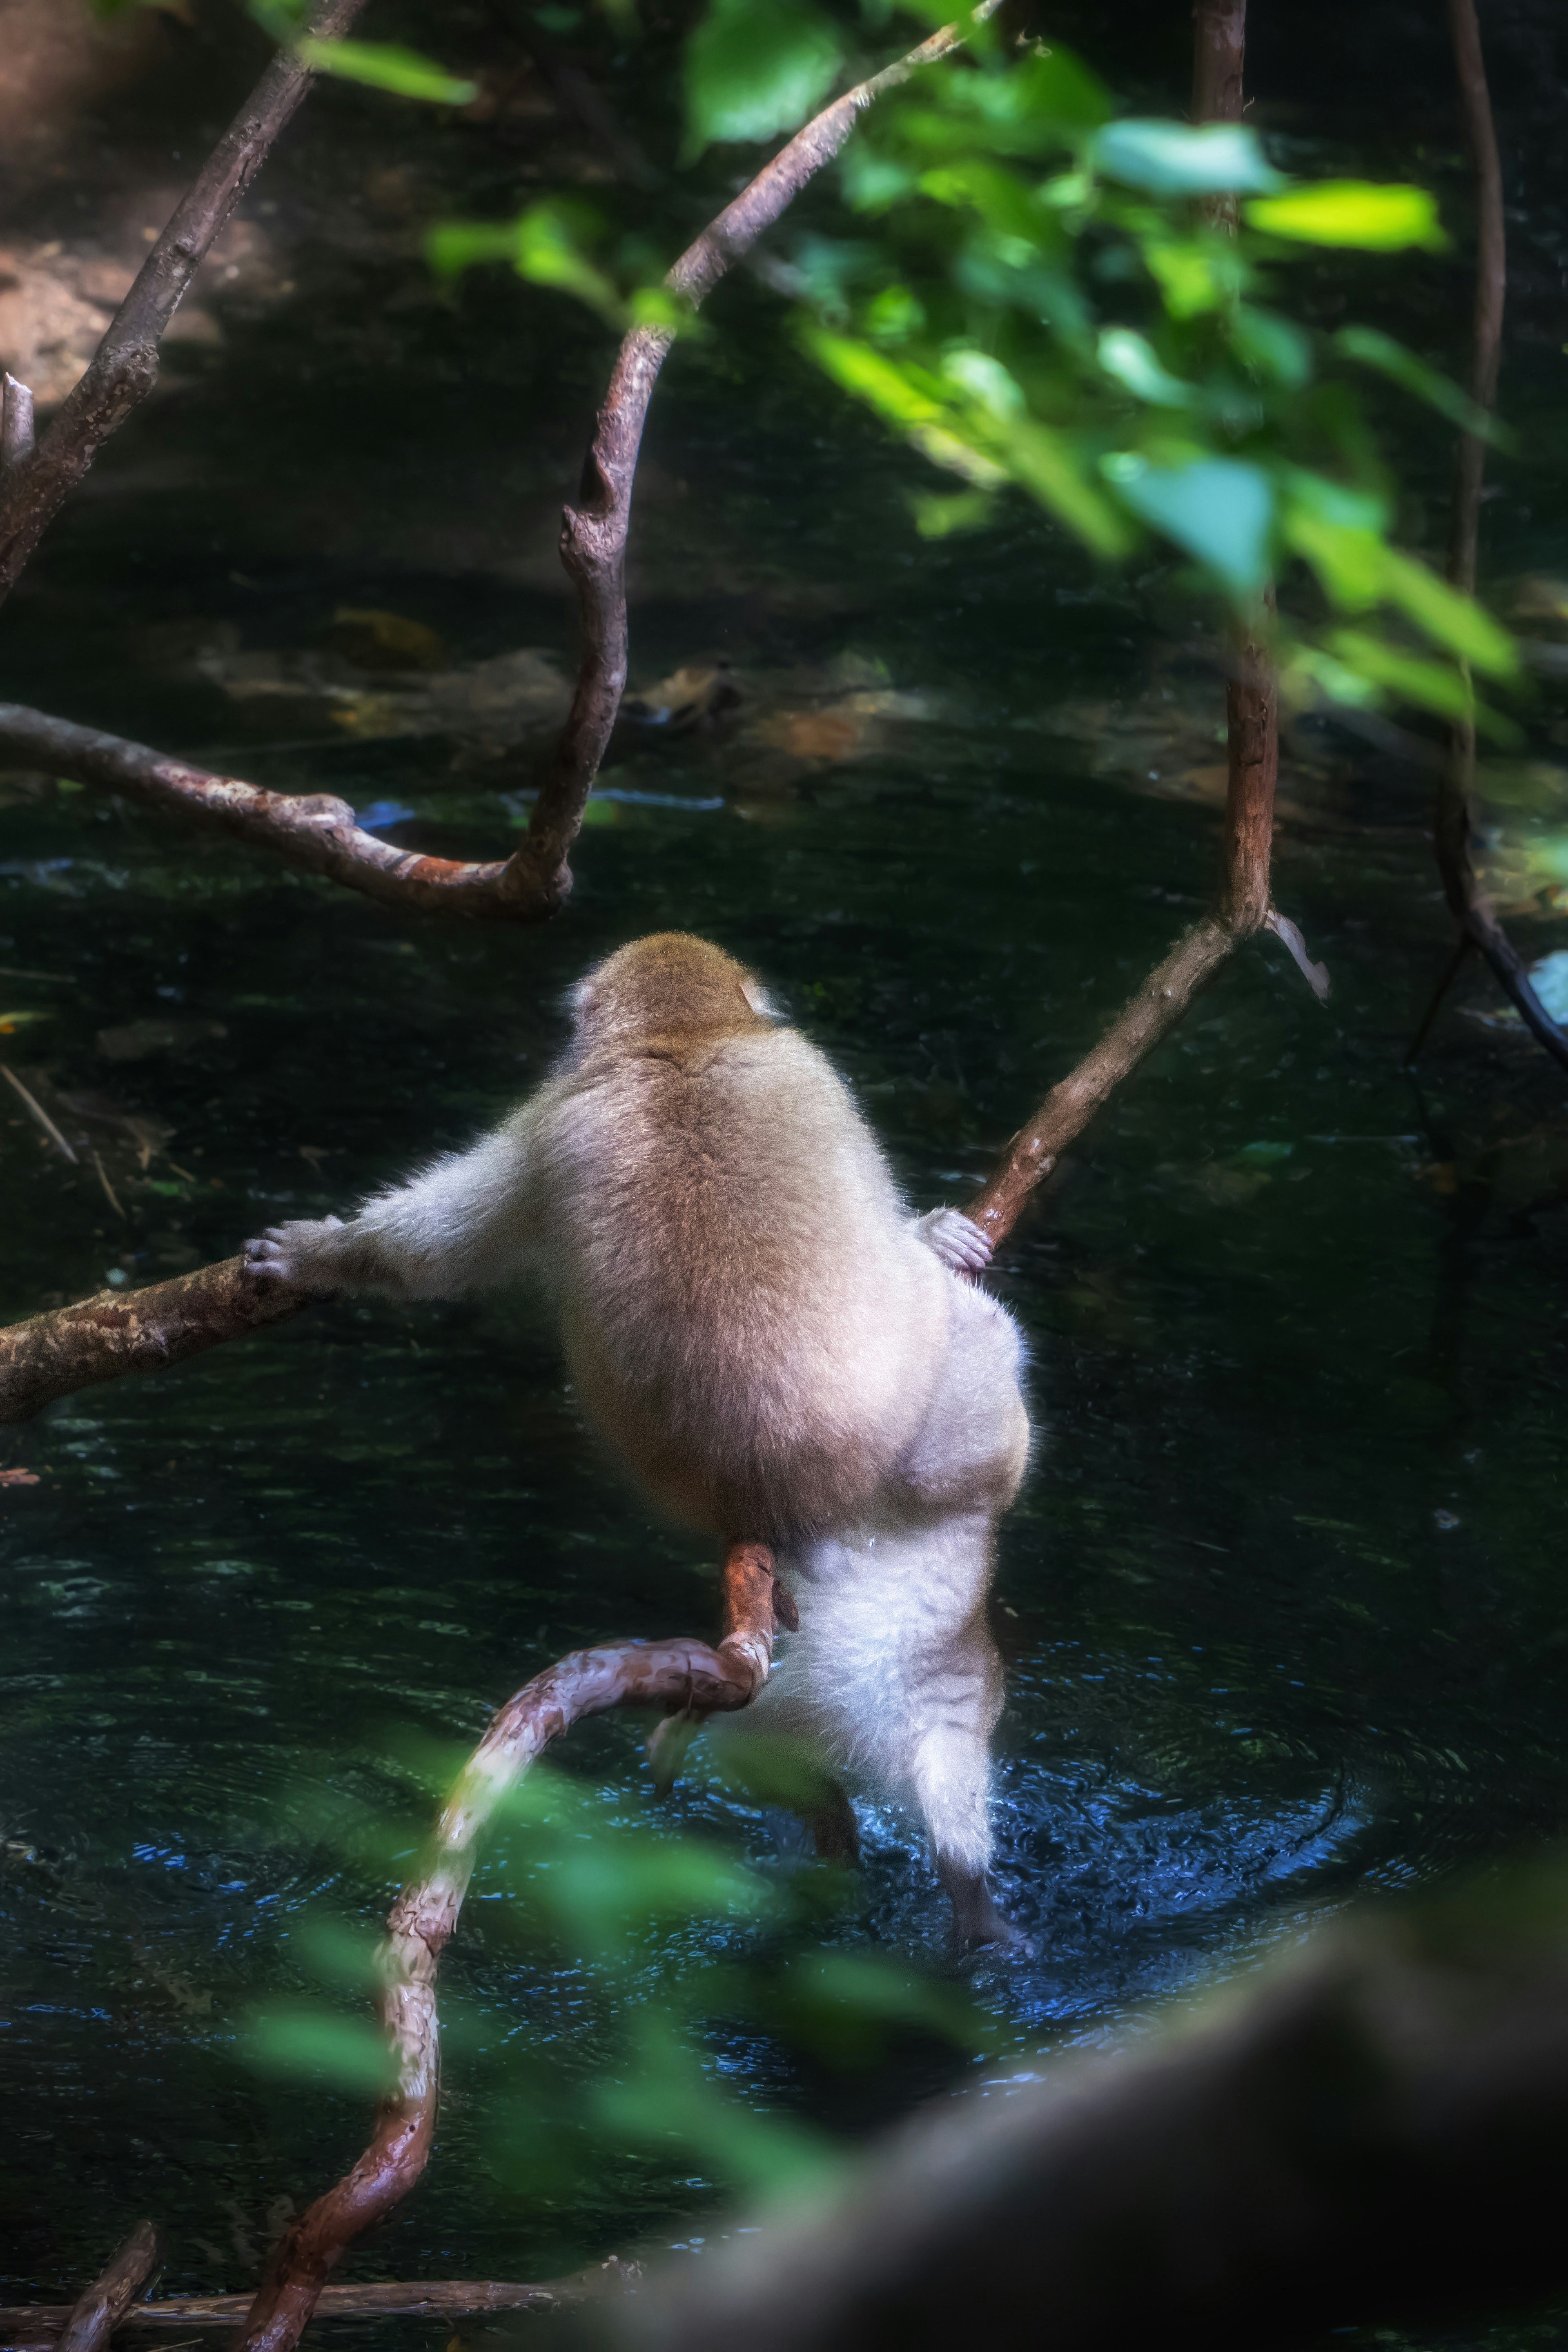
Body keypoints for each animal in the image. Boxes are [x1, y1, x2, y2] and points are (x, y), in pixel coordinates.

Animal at [244, 933, 1031, 1945]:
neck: (684, 1039)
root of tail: (801, 1496)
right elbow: (436, 1252)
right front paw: (927, 1232)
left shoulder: (558, 1120)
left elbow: (436, 1250)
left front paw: (325, 1255)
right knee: (981, 1345)